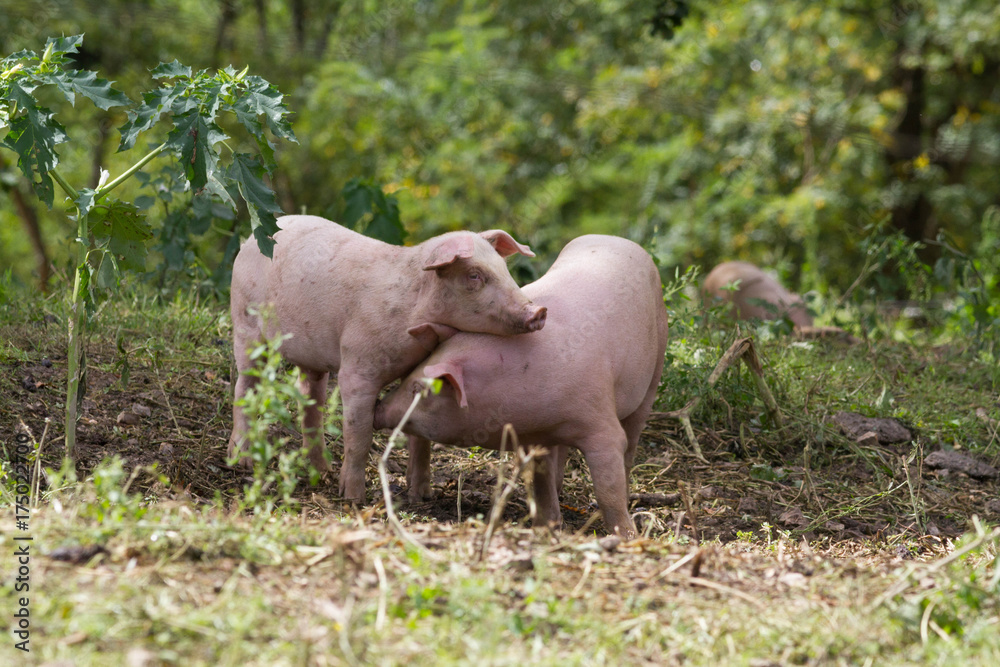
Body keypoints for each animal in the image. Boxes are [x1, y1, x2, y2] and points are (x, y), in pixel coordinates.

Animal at [229, 214, 546, 502]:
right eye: (474, 276)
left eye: (504, 269)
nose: (539, 311)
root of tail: (247, 241)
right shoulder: (356, 367)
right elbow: (359, 435)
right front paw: (354, 499)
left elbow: (420, 436)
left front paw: (422, 496)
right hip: (246, 325)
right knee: (244, 387)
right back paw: (242, 460)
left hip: (311, 357)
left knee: (310, 401)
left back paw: (322, 472)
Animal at [374, 235, 669, 538]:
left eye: (418, 390)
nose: (377, 408)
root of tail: (616, 239)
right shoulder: (537, 436)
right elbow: (540, 482)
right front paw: (545, 527)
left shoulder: (600, 421)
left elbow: (608, 486)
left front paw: (626, 536)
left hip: (655, 364)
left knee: (631, 440)